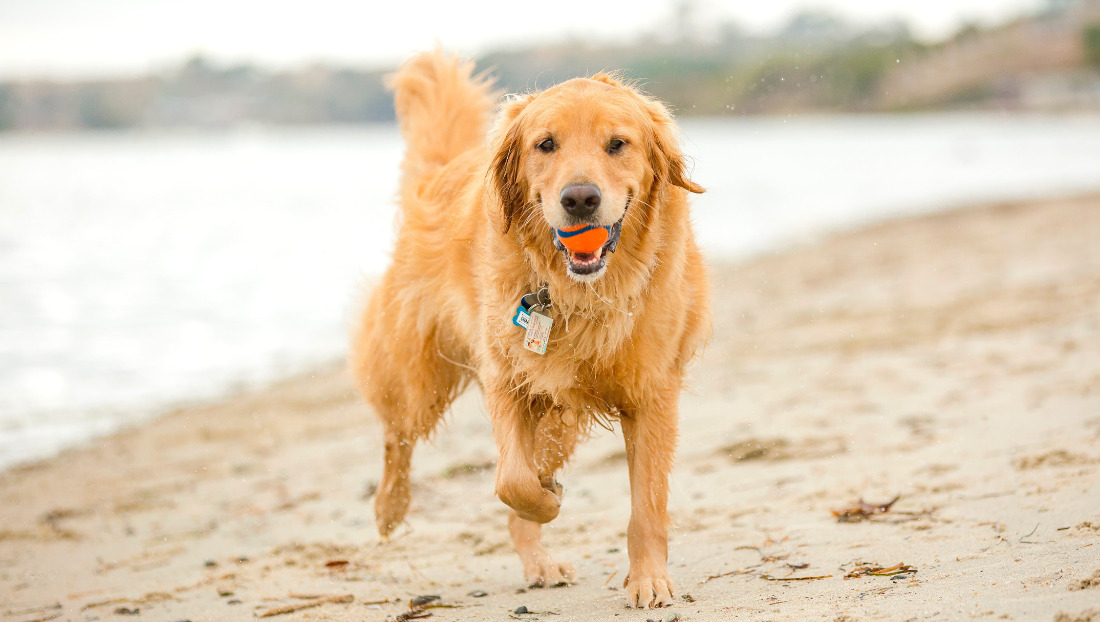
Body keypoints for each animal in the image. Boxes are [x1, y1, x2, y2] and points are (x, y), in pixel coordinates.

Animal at [349, 50, 712, 607]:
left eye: (617, 144)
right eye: (546, 144)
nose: (580, 198)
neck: (579, 292)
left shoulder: (651, 391)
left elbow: (646, 503)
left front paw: (648, 579)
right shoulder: (508, 377)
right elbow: (512, 480)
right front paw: (546, 499)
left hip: (559, 418)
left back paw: (540, 559)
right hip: (418, 376)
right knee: (397, 436)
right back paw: (390, 509)